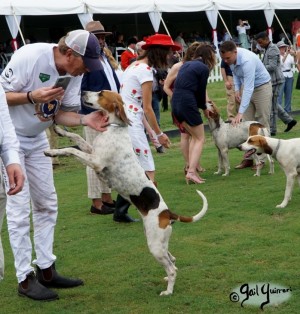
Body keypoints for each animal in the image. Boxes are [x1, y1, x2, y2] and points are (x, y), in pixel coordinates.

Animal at [45, 89, 209, 296]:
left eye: (101, 93)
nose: (83, 91)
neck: (114, 127)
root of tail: (167, 213)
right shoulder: (92, 150)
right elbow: (77, 140)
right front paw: (61, 131)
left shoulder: (96, 161)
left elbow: (71, 150)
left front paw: (52, 152)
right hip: (158, 242)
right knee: (173, 260)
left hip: (155, 246)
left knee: (172, 268)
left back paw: (168, 290)